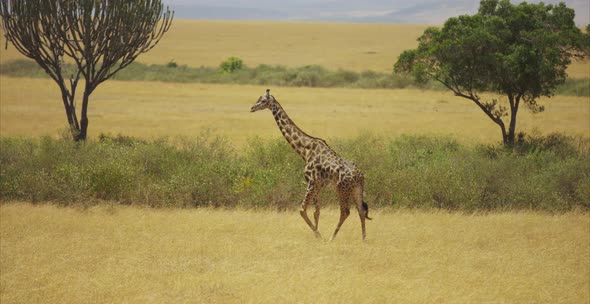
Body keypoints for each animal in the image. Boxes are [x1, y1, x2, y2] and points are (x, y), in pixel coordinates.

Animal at [251, 89, 374, 241]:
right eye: (258, 98)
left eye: (263, 101)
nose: (252, 108)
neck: (305, 150)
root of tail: (360, 176)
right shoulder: (318, 186)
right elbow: (317, 211)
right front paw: (316, 234)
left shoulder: (311, 182)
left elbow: (302, 209)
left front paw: (318, 234)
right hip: (356, 189)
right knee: (361, 210)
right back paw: (363, 238)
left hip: (342, 189)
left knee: (345, 211)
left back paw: (332, 237)